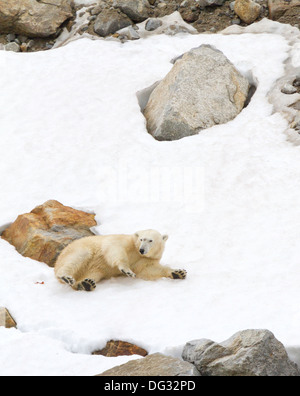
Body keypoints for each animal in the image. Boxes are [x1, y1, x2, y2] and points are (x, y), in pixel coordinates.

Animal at [54, 229, 185, 290]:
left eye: (150, 240)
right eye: (141, 239)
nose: (142, 249)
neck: (136, 251)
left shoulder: (144, 260)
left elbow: (149, 269)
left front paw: (179, 273)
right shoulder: (123, 241)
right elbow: (115, 249)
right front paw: (127, 270)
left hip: (93, 270)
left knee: (92, 274)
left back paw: (86, 283)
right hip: (77, 250)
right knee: (76, 258)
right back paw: (66, 277)